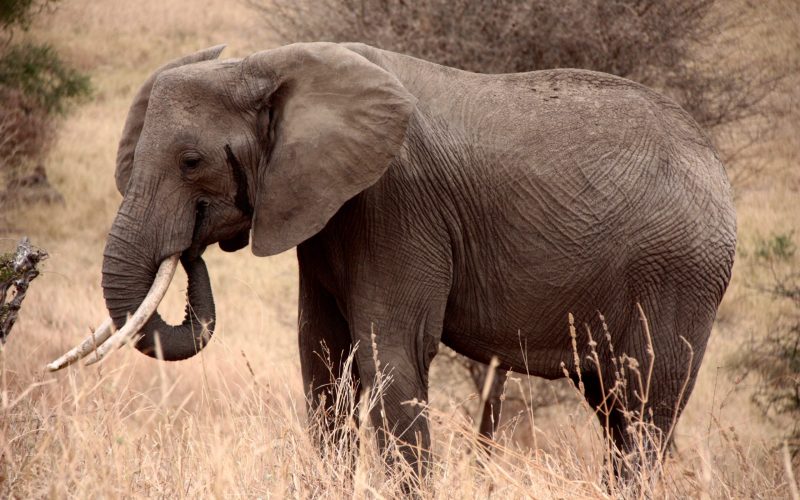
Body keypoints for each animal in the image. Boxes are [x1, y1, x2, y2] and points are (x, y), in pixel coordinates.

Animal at [50, 42, 736, 482]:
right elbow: (322, 359)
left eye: (191, 162)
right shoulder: (325, 210)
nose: (191, 249)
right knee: (614, 406)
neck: (269, 63)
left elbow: (392, 353)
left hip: (679, 273)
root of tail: (715, 162)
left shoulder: (395, 203)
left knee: (645, 406)